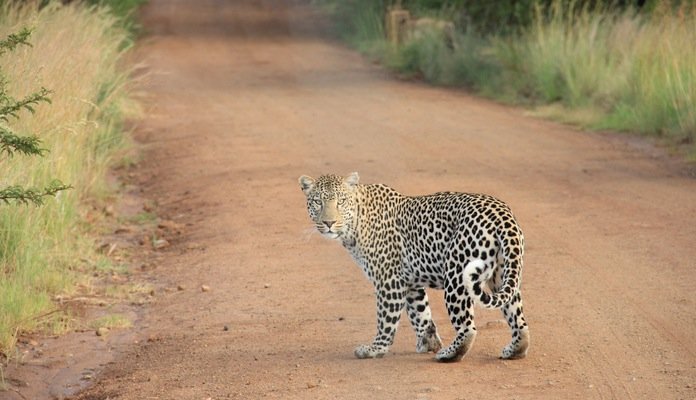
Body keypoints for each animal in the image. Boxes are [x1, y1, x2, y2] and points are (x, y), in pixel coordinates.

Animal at [296, 172, 532, 362]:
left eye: (341, 202)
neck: (355, 224)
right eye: (317, 202)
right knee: (518, 319)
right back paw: (514, 350)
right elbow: (421, 314)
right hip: (502, 275)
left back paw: (449, 354)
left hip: (456, 276)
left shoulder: (389, 281)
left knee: (468, 328)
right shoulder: (409, 282)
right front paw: (428, 342)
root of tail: (503, 215)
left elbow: (386, 319)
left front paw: (375, 349)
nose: (328, 223)